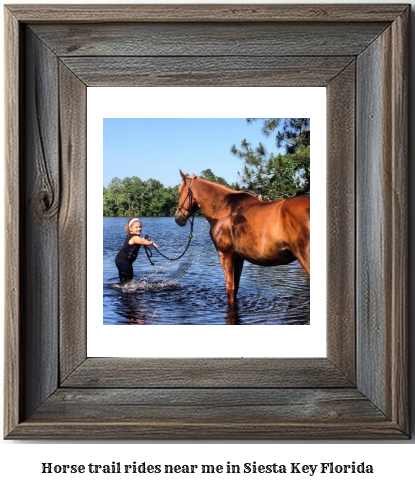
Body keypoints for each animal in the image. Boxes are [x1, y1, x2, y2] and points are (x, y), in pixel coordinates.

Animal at [174, 170, 310, 304]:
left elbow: (230, 289)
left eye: (180, 192)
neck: (223, 209)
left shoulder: (225, 255)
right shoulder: (238, 258)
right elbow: (235, 288)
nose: (178, 218)